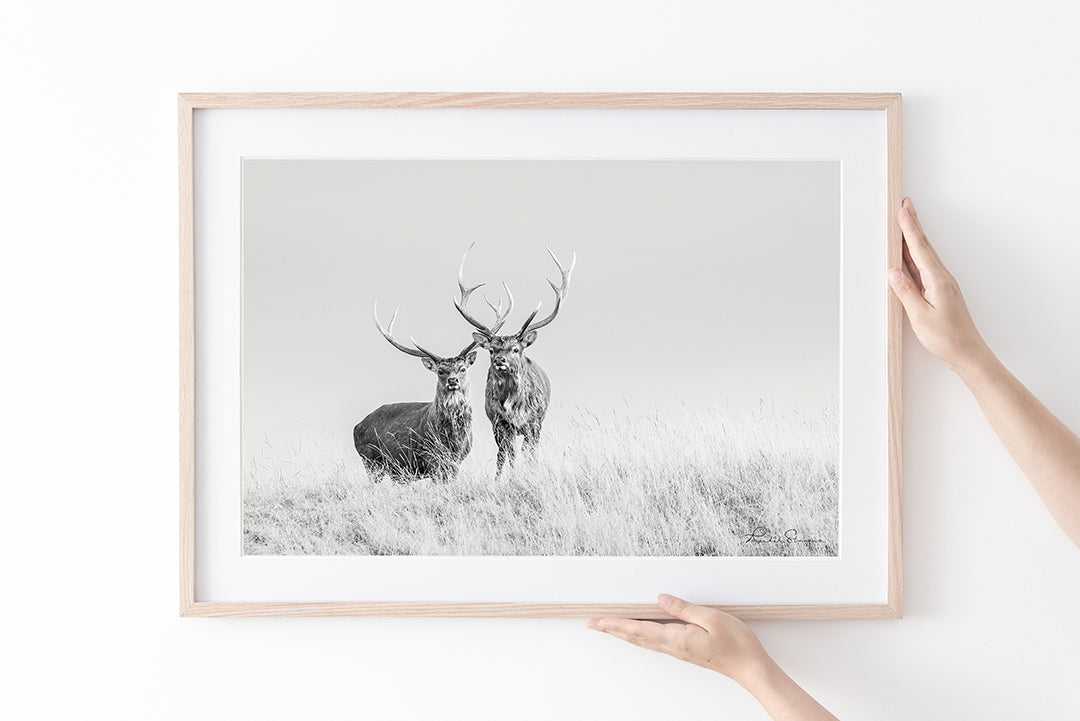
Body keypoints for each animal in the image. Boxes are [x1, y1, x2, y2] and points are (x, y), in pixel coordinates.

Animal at [353, 297, 508, 482]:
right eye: (440, 371)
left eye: (462, 368)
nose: (453, 380)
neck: (453, 439)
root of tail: (356, 427)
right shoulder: (431, 457)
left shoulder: (458, 459)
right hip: (371, 461)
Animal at [454, 246, 575, 477]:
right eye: (492, 350)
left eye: (516, 349)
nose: (500, 360)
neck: (513, 407)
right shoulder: (498, 422)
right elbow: (508, 455)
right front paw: (508, 478)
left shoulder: (534, 422)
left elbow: (529, 454)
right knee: (503, 454)